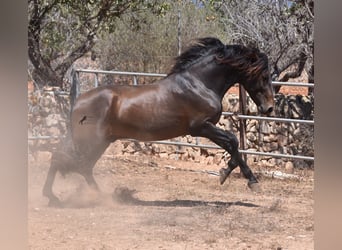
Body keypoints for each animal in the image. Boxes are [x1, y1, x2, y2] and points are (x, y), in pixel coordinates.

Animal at [42, 36, 276, 205]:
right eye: (263, 75)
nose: (269, 107)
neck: (199, 84)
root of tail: (77, 101)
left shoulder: (205, 128)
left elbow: (233, 145)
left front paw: (230, 174)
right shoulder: (200, 127)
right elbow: (233, 142)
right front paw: (244, 179)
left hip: (96, 140)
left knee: (68, 159)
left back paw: (57, 196)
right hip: (91, 140)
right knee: (76, 163)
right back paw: (96, 198)